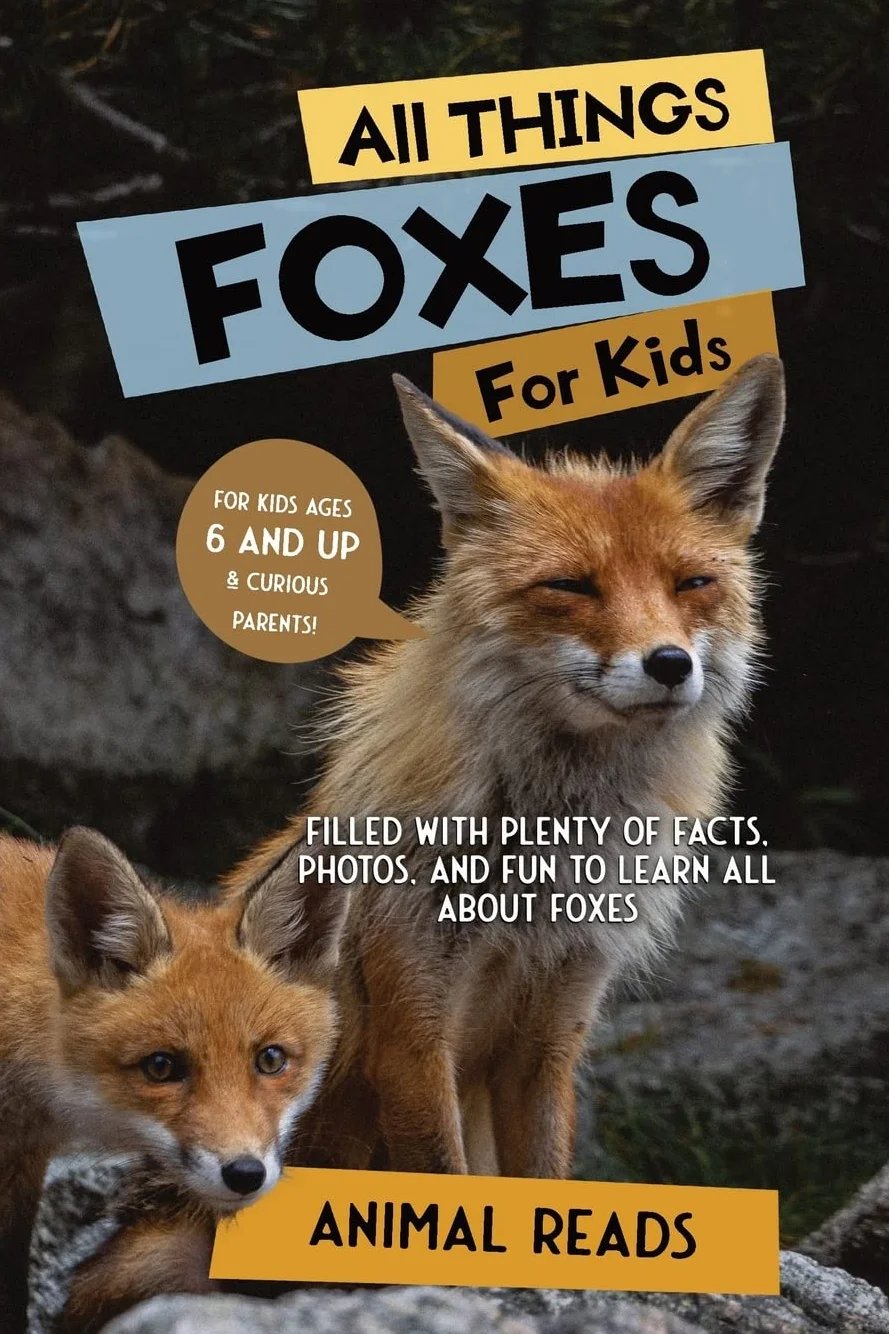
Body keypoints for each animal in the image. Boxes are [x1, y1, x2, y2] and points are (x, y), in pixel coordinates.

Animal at [224, 353, 787, 1185]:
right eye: (570, 586)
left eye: (691, 584)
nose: (668, 664)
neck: (536, 874)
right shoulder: (412, 1031)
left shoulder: (552, 1031)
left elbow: (544, 1175)